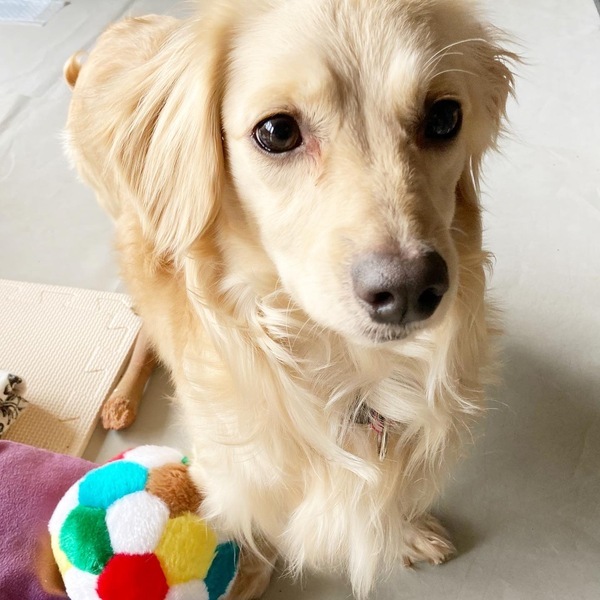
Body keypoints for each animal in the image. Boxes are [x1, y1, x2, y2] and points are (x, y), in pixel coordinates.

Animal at [64, 1, 515, 597]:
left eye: (444, 117)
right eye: (277, 132)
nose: (412, 291)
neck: (349, 369)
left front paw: (409, 531)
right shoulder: (235, 473)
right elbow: (258, 528)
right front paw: (250, 576)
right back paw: (121, 395)